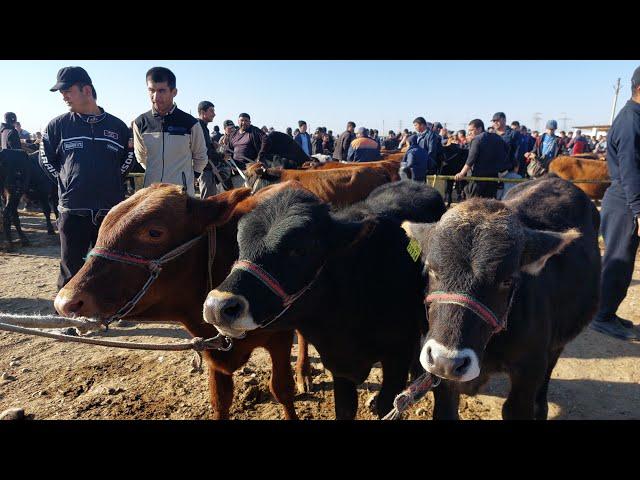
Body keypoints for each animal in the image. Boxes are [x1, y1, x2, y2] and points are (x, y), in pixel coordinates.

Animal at [54, 182, 312, 418]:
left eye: (154, 232)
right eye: (102, 228)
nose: (65, 302)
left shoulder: (280, 337)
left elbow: (282, 389)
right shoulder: (212, 350)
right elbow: (220, 400)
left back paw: (304, 373)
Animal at [204, 182, 444, 418]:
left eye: (300, 249)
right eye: (240, 244)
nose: (217, 306)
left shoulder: (396, 358)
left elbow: (388, 405)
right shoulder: (339, 368)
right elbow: (345, 409)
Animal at [400, 176, 600, 420]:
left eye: (506, 280)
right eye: (431, 269)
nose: (446, 361)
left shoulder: (530, 368)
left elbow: (514, 408)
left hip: (558, 341)